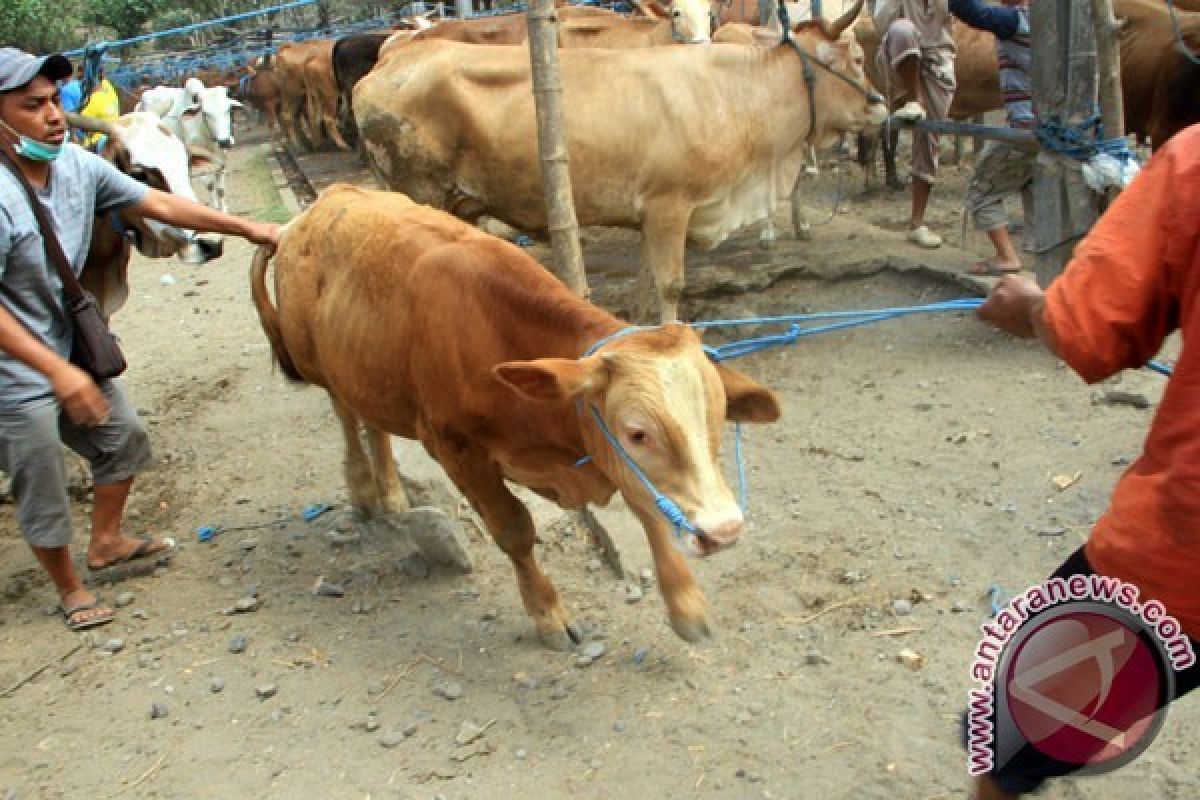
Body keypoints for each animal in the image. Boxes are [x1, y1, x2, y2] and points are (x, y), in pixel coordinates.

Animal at [136, 77, 243, 212]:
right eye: (205, 113)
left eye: (228, 109)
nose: (225, 141)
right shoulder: (194, 164)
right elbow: (205, 185)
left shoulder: (221, 161)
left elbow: (219, 190)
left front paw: (222, 210)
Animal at [250, 184, 777, 647]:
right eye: (637, 433)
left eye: (718, 419)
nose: (724, 531)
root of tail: (313, 211)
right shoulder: (456, 448)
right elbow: (514, 530)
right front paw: (548, 614)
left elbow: (650, 508)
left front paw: (687, 606)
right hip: (322, 366)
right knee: (347, 420)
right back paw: (363, 490)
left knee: (373, 423)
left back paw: (393, 495)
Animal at [355, 0, 883, 326]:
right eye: (858, 58)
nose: (881, 105)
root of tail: (385, 64)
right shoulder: (670, 205)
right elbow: (671, 285)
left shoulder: (651, 212)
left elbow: (647, 283)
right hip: (420, 193)